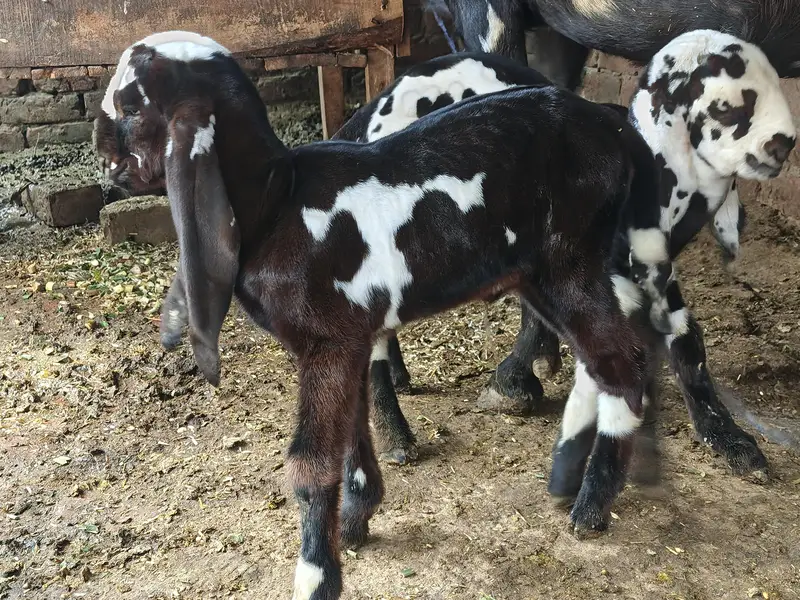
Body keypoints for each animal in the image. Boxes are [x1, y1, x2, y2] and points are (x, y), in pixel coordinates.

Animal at [97, 31, 679, 599]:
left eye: (130, 105)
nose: (104, 159)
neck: (278, 202)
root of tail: (613, 127)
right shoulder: (351, 340)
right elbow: (352, 434)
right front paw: (357, 520)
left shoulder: (328, 341)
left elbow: (310, 463)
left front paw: (316, 578)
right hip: (545, 274)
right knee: (612, 356)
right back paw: (588, 474)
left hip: (570, 262)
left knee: (620, 362)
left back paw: (591, 508)